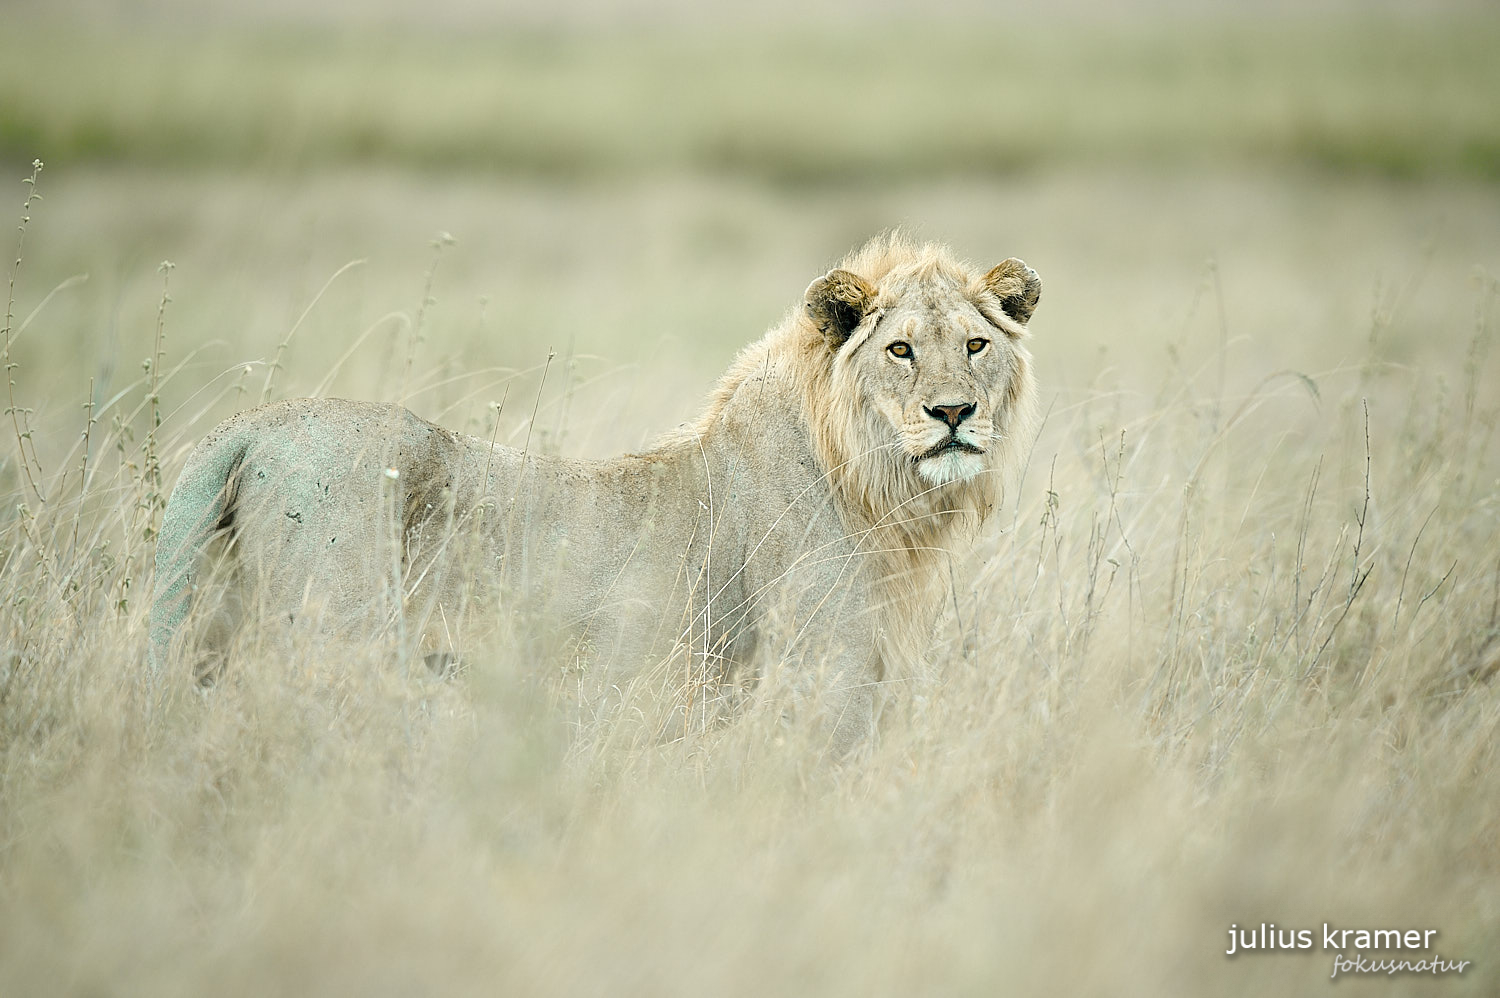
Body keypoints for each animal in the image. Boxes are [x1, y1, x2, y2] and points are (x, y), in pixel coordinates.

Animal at [152, 234, 1044, 747]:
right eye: (900, 350)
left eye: (974, 345)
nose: (954, 413)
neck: (874, 485)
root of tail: (248, 429)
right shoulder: (826, 669)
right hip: (334, 635)